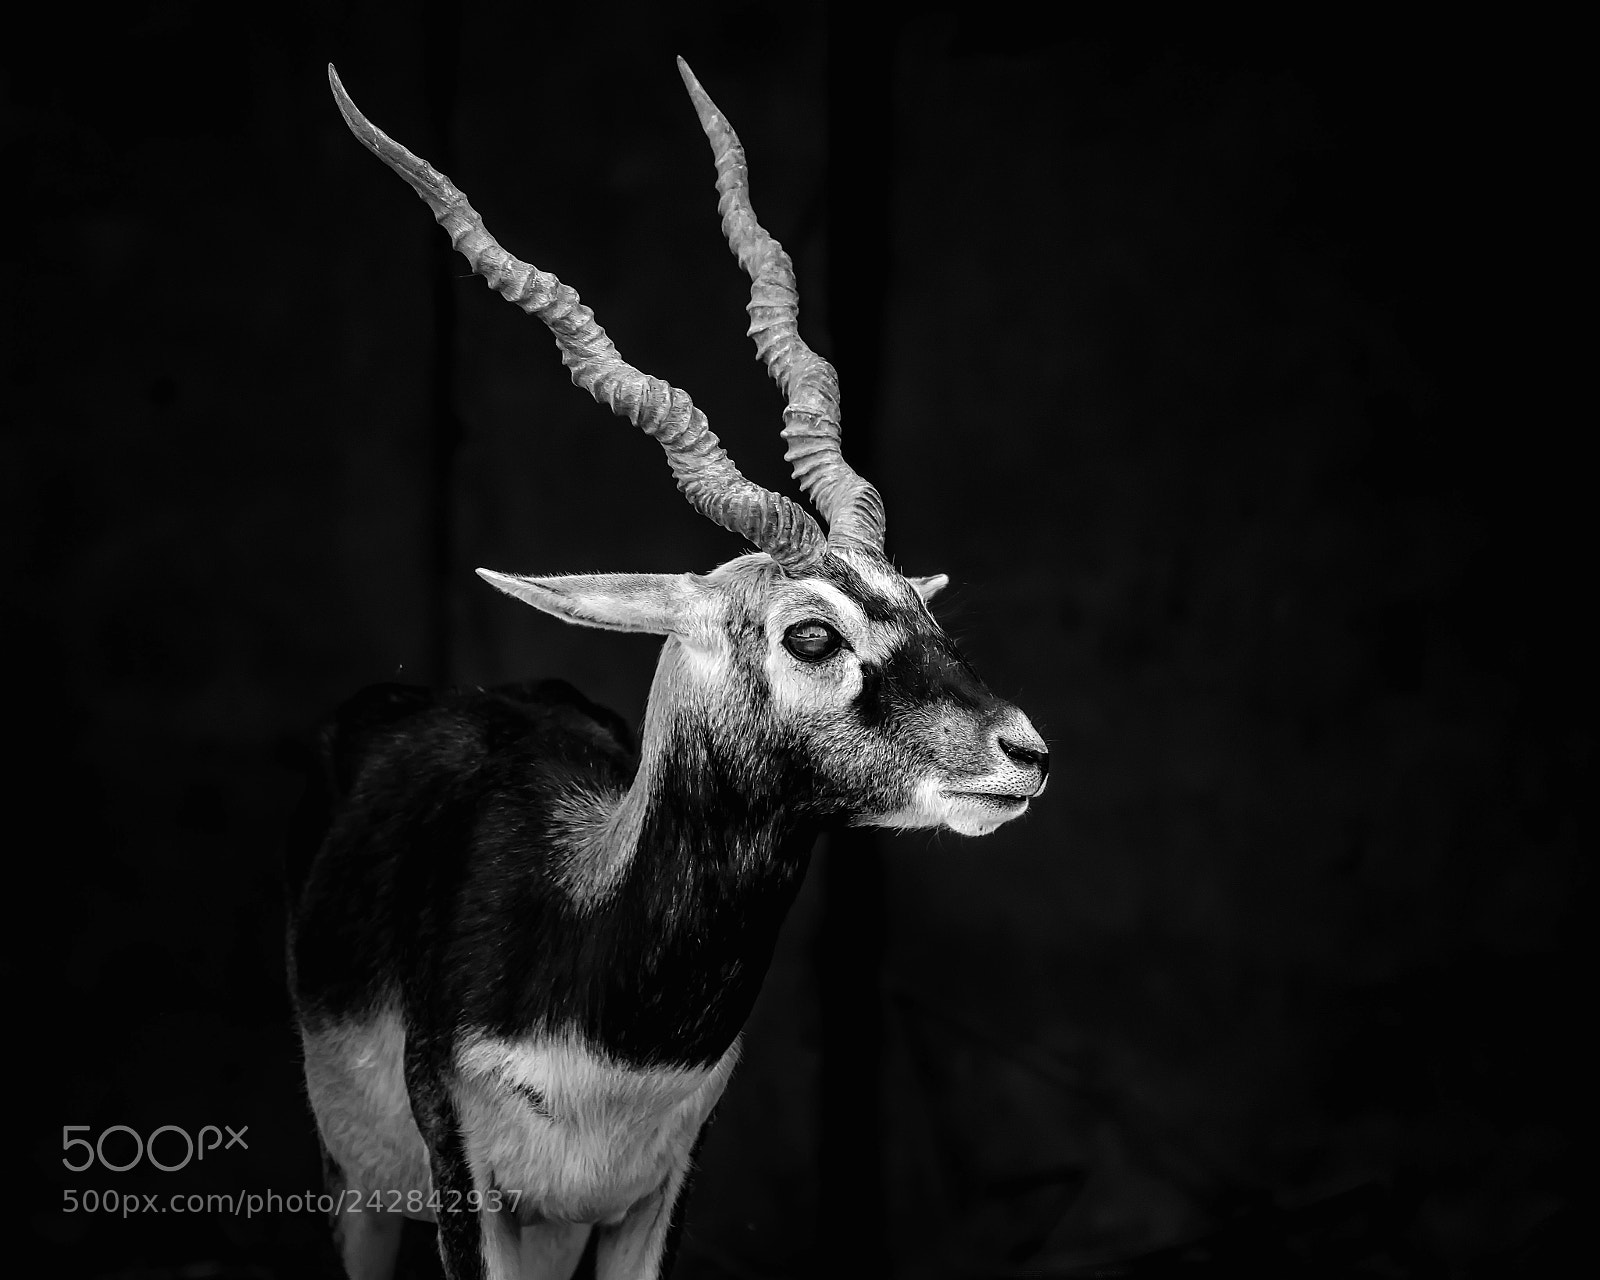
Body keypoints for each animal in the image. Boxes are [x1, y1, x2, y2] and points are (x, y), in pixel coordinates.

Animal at [287, 59, 1048, 1280]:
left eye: (919, 605)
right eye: (810, 633)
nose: (1022, 750)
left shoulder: (654, 1190)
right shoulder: (468, 1188)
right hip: (357, 1190)